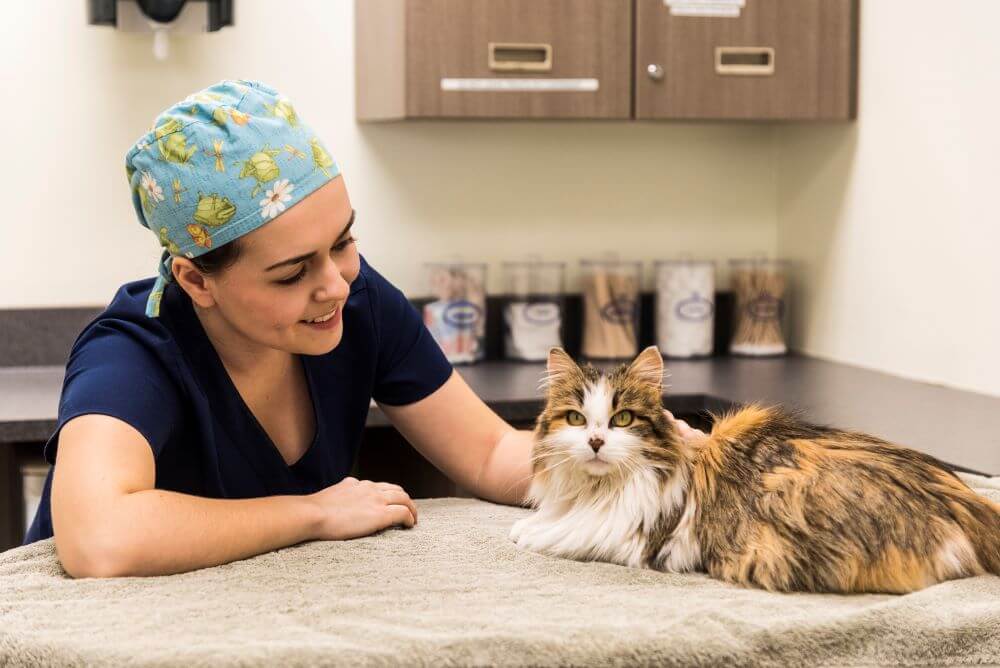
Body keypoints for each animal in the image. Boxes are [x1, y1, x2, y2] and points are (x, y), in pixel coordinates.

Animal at [512, 348, 1000, 592]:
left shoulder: (625, 535)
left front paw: (528, 532)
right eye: (576, 419)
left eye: (623, 419)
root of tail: (967, 502)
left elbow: (556, 533)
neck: (598, 490)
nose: (595, 442)